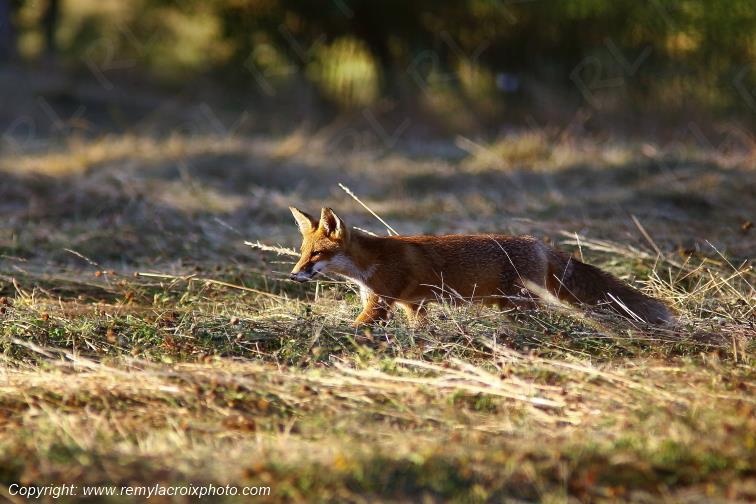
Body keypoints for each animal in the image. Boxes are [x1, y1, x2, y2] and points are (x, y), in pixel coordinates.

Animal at [288, 207, 674, 327]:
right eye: (303, 253)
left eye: (316, 255)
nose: (294, 275)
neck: (369, 264)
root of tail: (539, 243)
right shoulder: (413, 305)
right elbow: (419, 326)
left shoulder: (379, 303)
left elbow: (358, 326)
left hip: (518, 306)